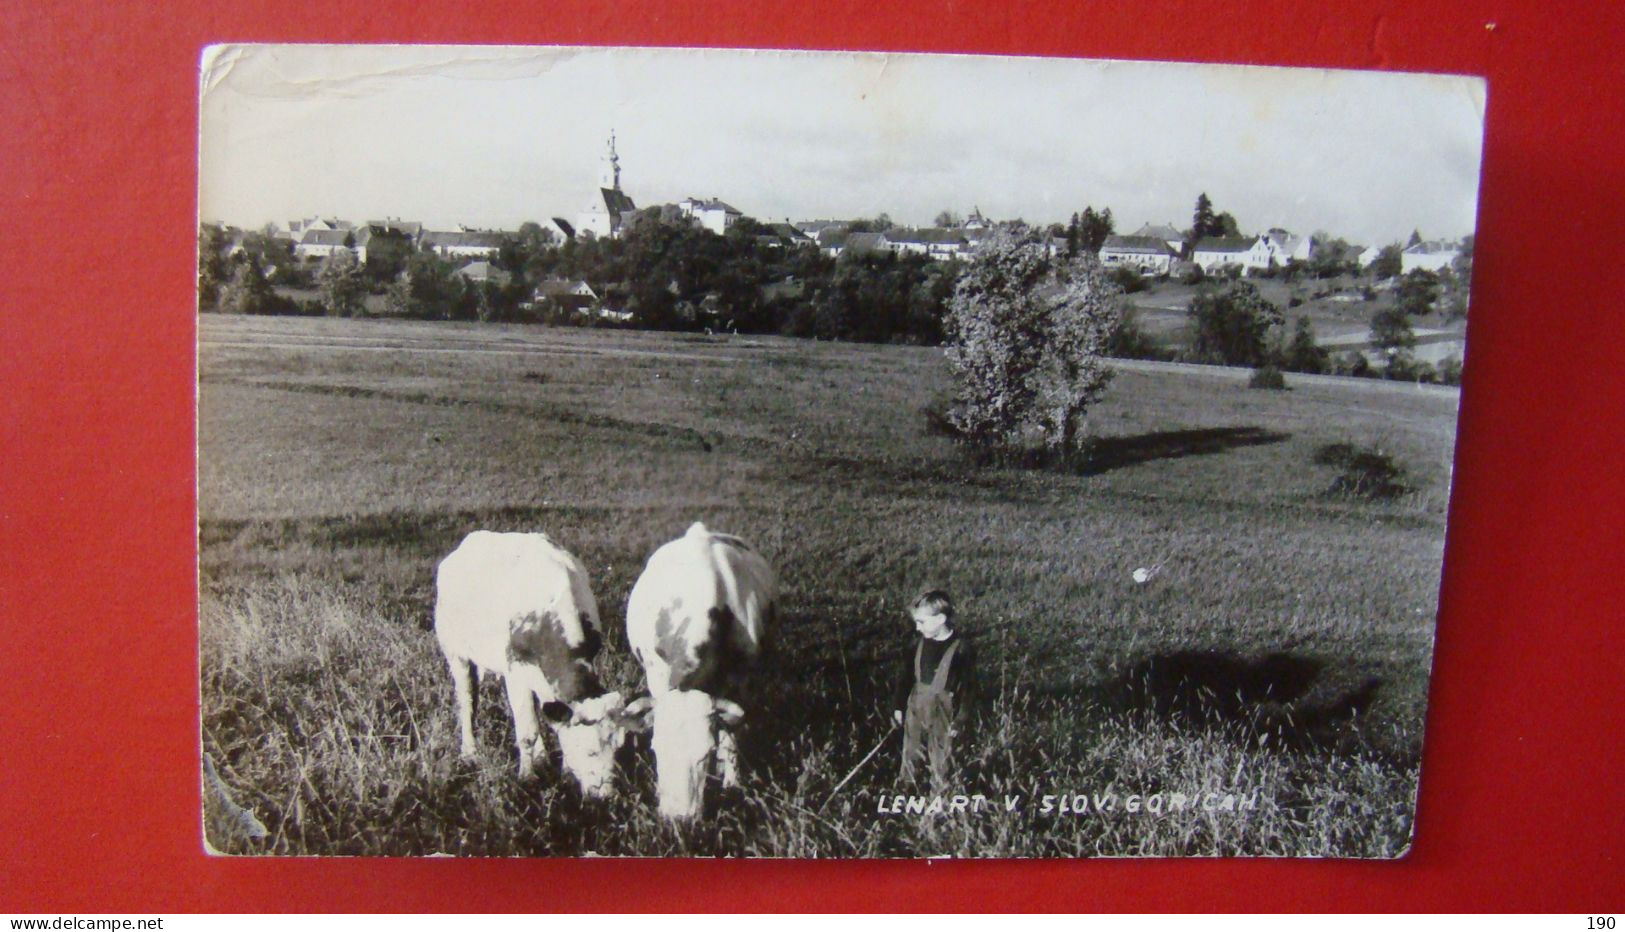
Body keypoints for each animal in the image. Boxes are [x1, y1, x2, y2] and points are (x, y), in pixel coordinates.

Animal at [435, 532, 643, 795]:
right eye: (590, 752)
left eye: (617, 749)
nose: (606, 795)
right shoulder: (515, 672)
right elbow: (527, 732)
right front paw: (527, 777)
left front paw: (563, 770)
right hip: (456, 654)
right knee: (467, 703)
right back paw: (469, 752)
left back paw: (542, 756)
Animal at [624, 522, 776, 821]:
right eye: (656, 748)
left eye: (705, 754)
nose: (678, 819)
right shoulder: (657, 675)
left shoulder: (744, 681)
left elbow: (731, 735)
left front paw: (732, 782)